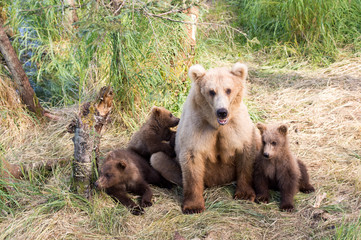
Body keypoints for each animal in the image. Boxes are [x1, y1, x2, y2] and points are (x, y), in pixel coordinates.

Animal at [150, 62, 260, 214]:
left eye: (228, 90)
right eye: (211, 91)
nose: (222, 112)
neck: (216, 124)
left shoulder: (237, 127)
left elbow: (245, 154)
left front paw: (245, 194)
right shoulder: (197, 127)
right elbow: (192, 162)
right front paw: (193, 206)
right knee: (157, 158)